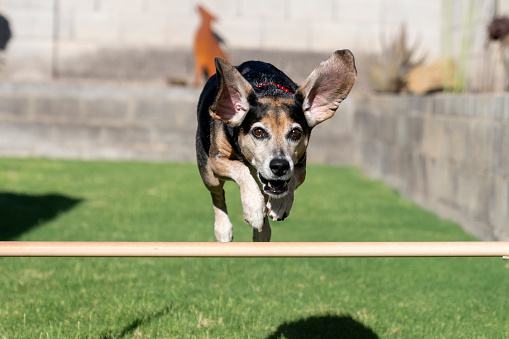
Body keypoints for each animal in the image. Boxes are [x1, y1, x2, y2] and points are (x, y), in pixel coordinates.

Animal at [196, 49, 356, 242]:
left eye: (296, 133)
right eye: (258, 132)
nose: (280, 166)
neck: (270, 90)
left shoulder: (300, 164)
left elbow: (294, 177)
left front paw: (280, 203)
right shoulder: (216, 160)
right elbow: (240, 169)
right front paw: (254, 209)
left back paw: (262, 231)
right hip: (208, 174)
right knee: (218, 195)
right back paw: (223, 229)